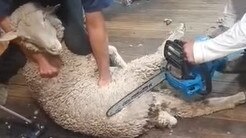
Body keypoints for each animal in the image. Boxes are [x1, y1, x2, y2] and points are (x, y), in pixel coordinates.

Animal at [1, 2, 246, 138]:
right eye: (24, 37)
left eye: (44, 19)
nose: (54, 47)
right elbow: (113, 51)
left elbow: (110, 49)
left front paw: (118, 61)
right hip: (138, 83)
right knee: (195, 105)